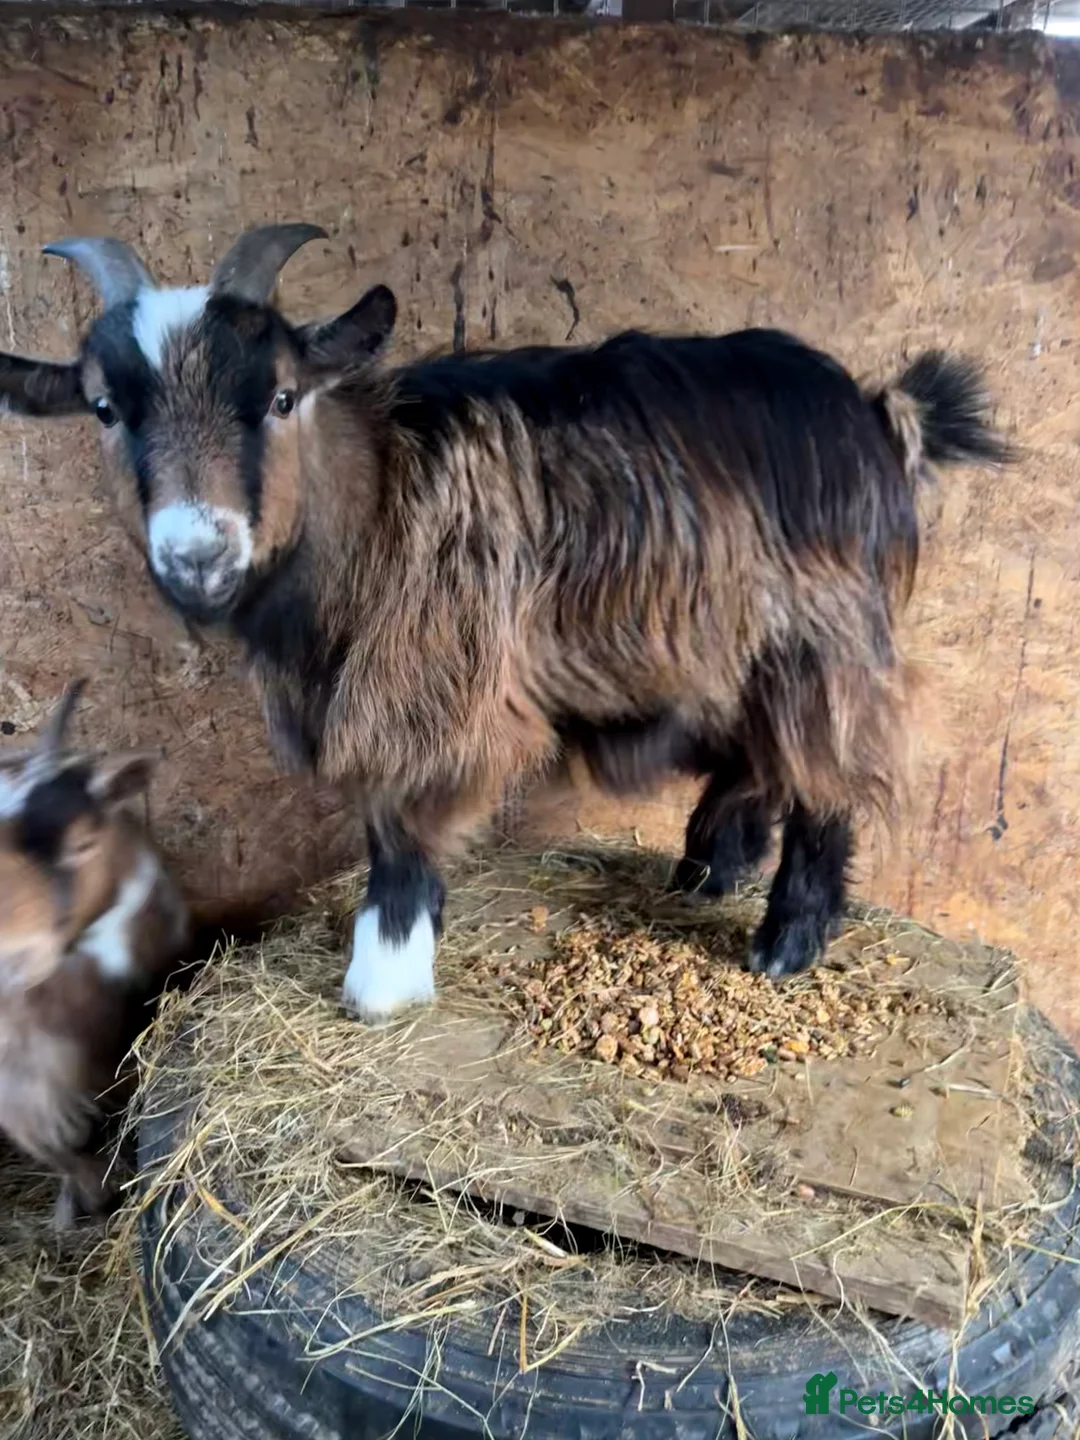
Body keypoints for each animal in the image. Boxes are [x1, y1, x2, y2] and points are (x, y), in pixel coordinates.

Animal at [0, 226, 1010, 1023]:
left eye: (281, 397)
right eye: (104, 407)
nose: (198, 554)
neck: (374, 493)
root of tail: (878, 411)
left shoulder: (432, 680)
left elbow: (399, 821)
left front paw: (385, 975)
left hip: (822, 636)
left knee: (829, 766)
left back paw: (789, 937)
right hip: (728, 640)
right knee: (760, 751)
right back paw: (712, 866)